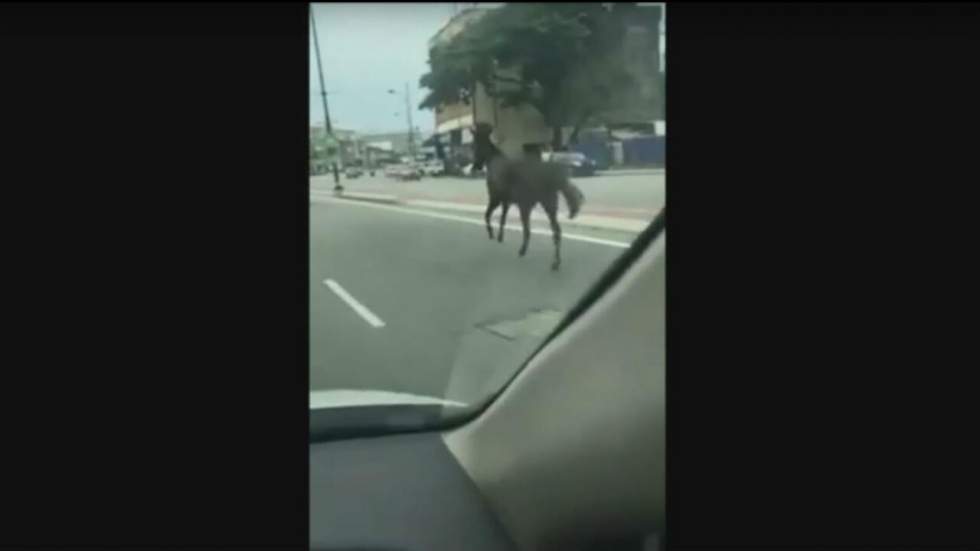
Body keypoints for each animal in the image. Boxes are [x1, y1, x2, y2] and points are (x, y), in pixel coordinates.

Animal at [470, 124, 584, 272]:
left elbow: (487, 216)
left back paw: (540, 257)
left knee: (536, 230)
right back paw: (553, 261)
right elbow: (502, 219)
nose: (475, 166)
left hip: (534, 205)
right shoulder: (506, 202)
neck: (494, 162)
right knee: (554, 231)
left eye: (475, 145)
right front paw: (500, 237)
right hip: (547, 206)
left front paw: (491, 234)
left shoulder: (496, 199)